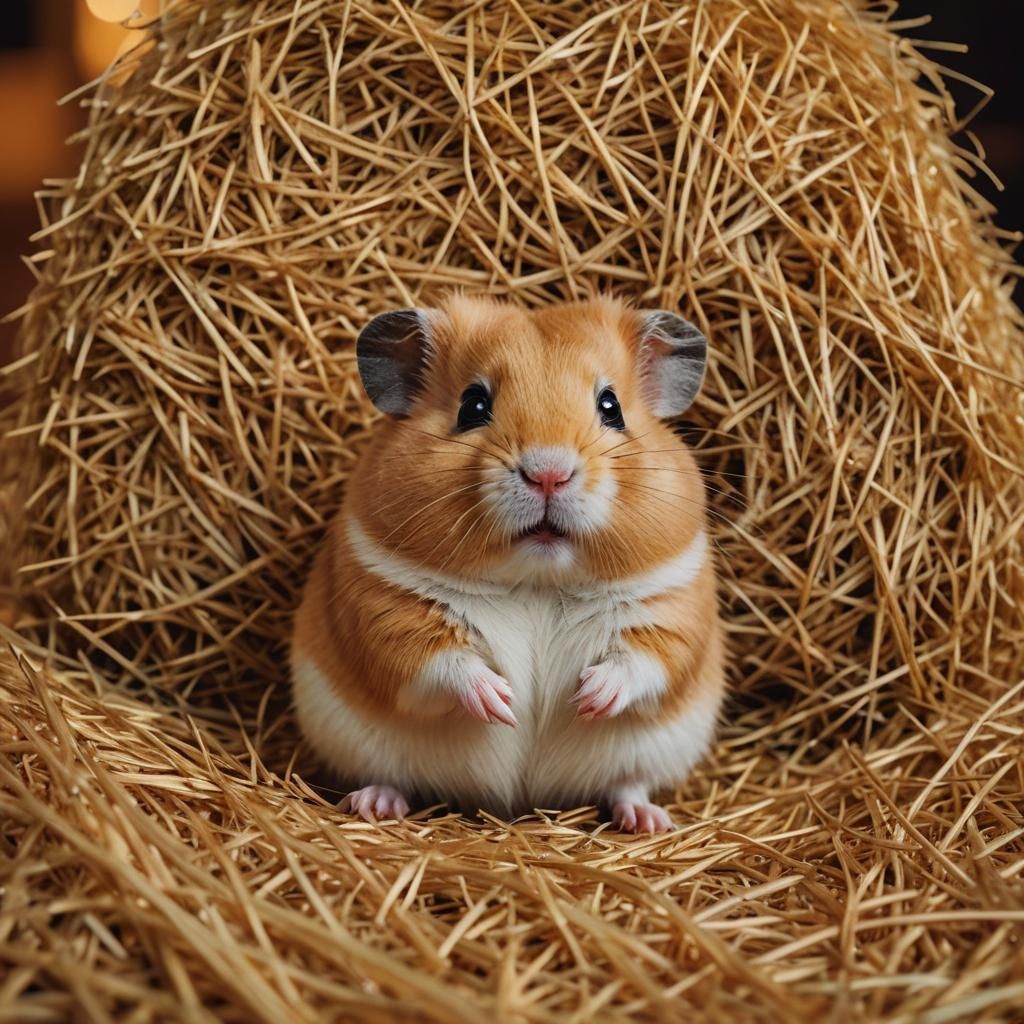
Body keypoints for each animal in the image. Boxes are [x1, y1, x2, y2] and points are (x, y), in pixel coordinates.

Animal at [291, 296, 724, 833]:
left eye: (611, 407)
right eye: (473, 405)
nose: (549, 473)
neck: (536, 581)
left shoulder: (672, 609)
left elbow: (641, 662)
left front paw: (586, 697)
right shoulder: (385, 610)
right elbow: (442, 662)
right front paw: (505, 703)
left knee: (628, 783)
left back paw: (649, 821)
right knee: (387, 776)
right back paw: (375, 805)